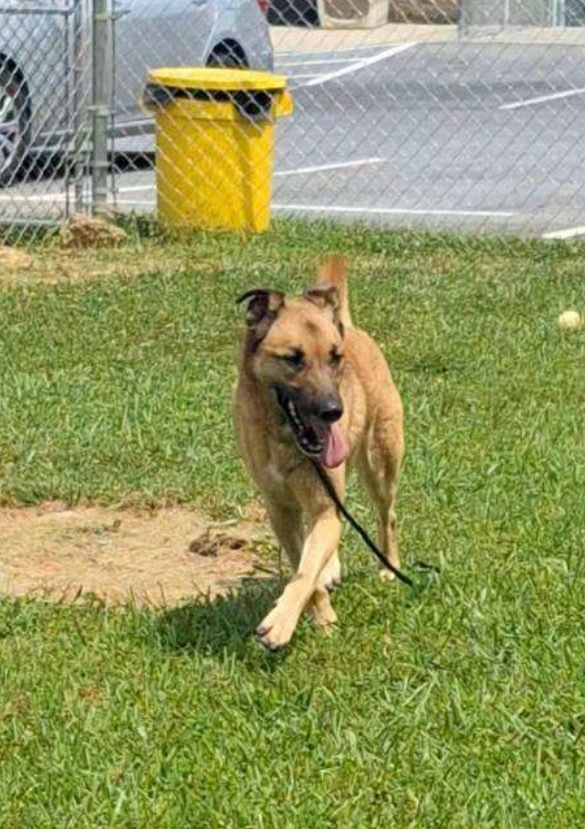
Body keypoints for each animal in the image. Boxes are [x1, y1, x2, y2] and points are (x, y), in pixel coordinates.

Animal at [233, 256, 402, 652]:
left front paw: (283, 623)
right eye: (293, 358)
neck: (284, 439)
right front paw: (321, 616)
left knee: (385, 516)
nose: (333, 411)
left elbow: (305, 571)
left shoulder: (322, 503)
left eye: (334, 357)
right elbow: (304, 566)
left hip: (381, 465)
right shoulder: (281, 512)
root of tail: (350, 327)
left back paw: (389, 567)